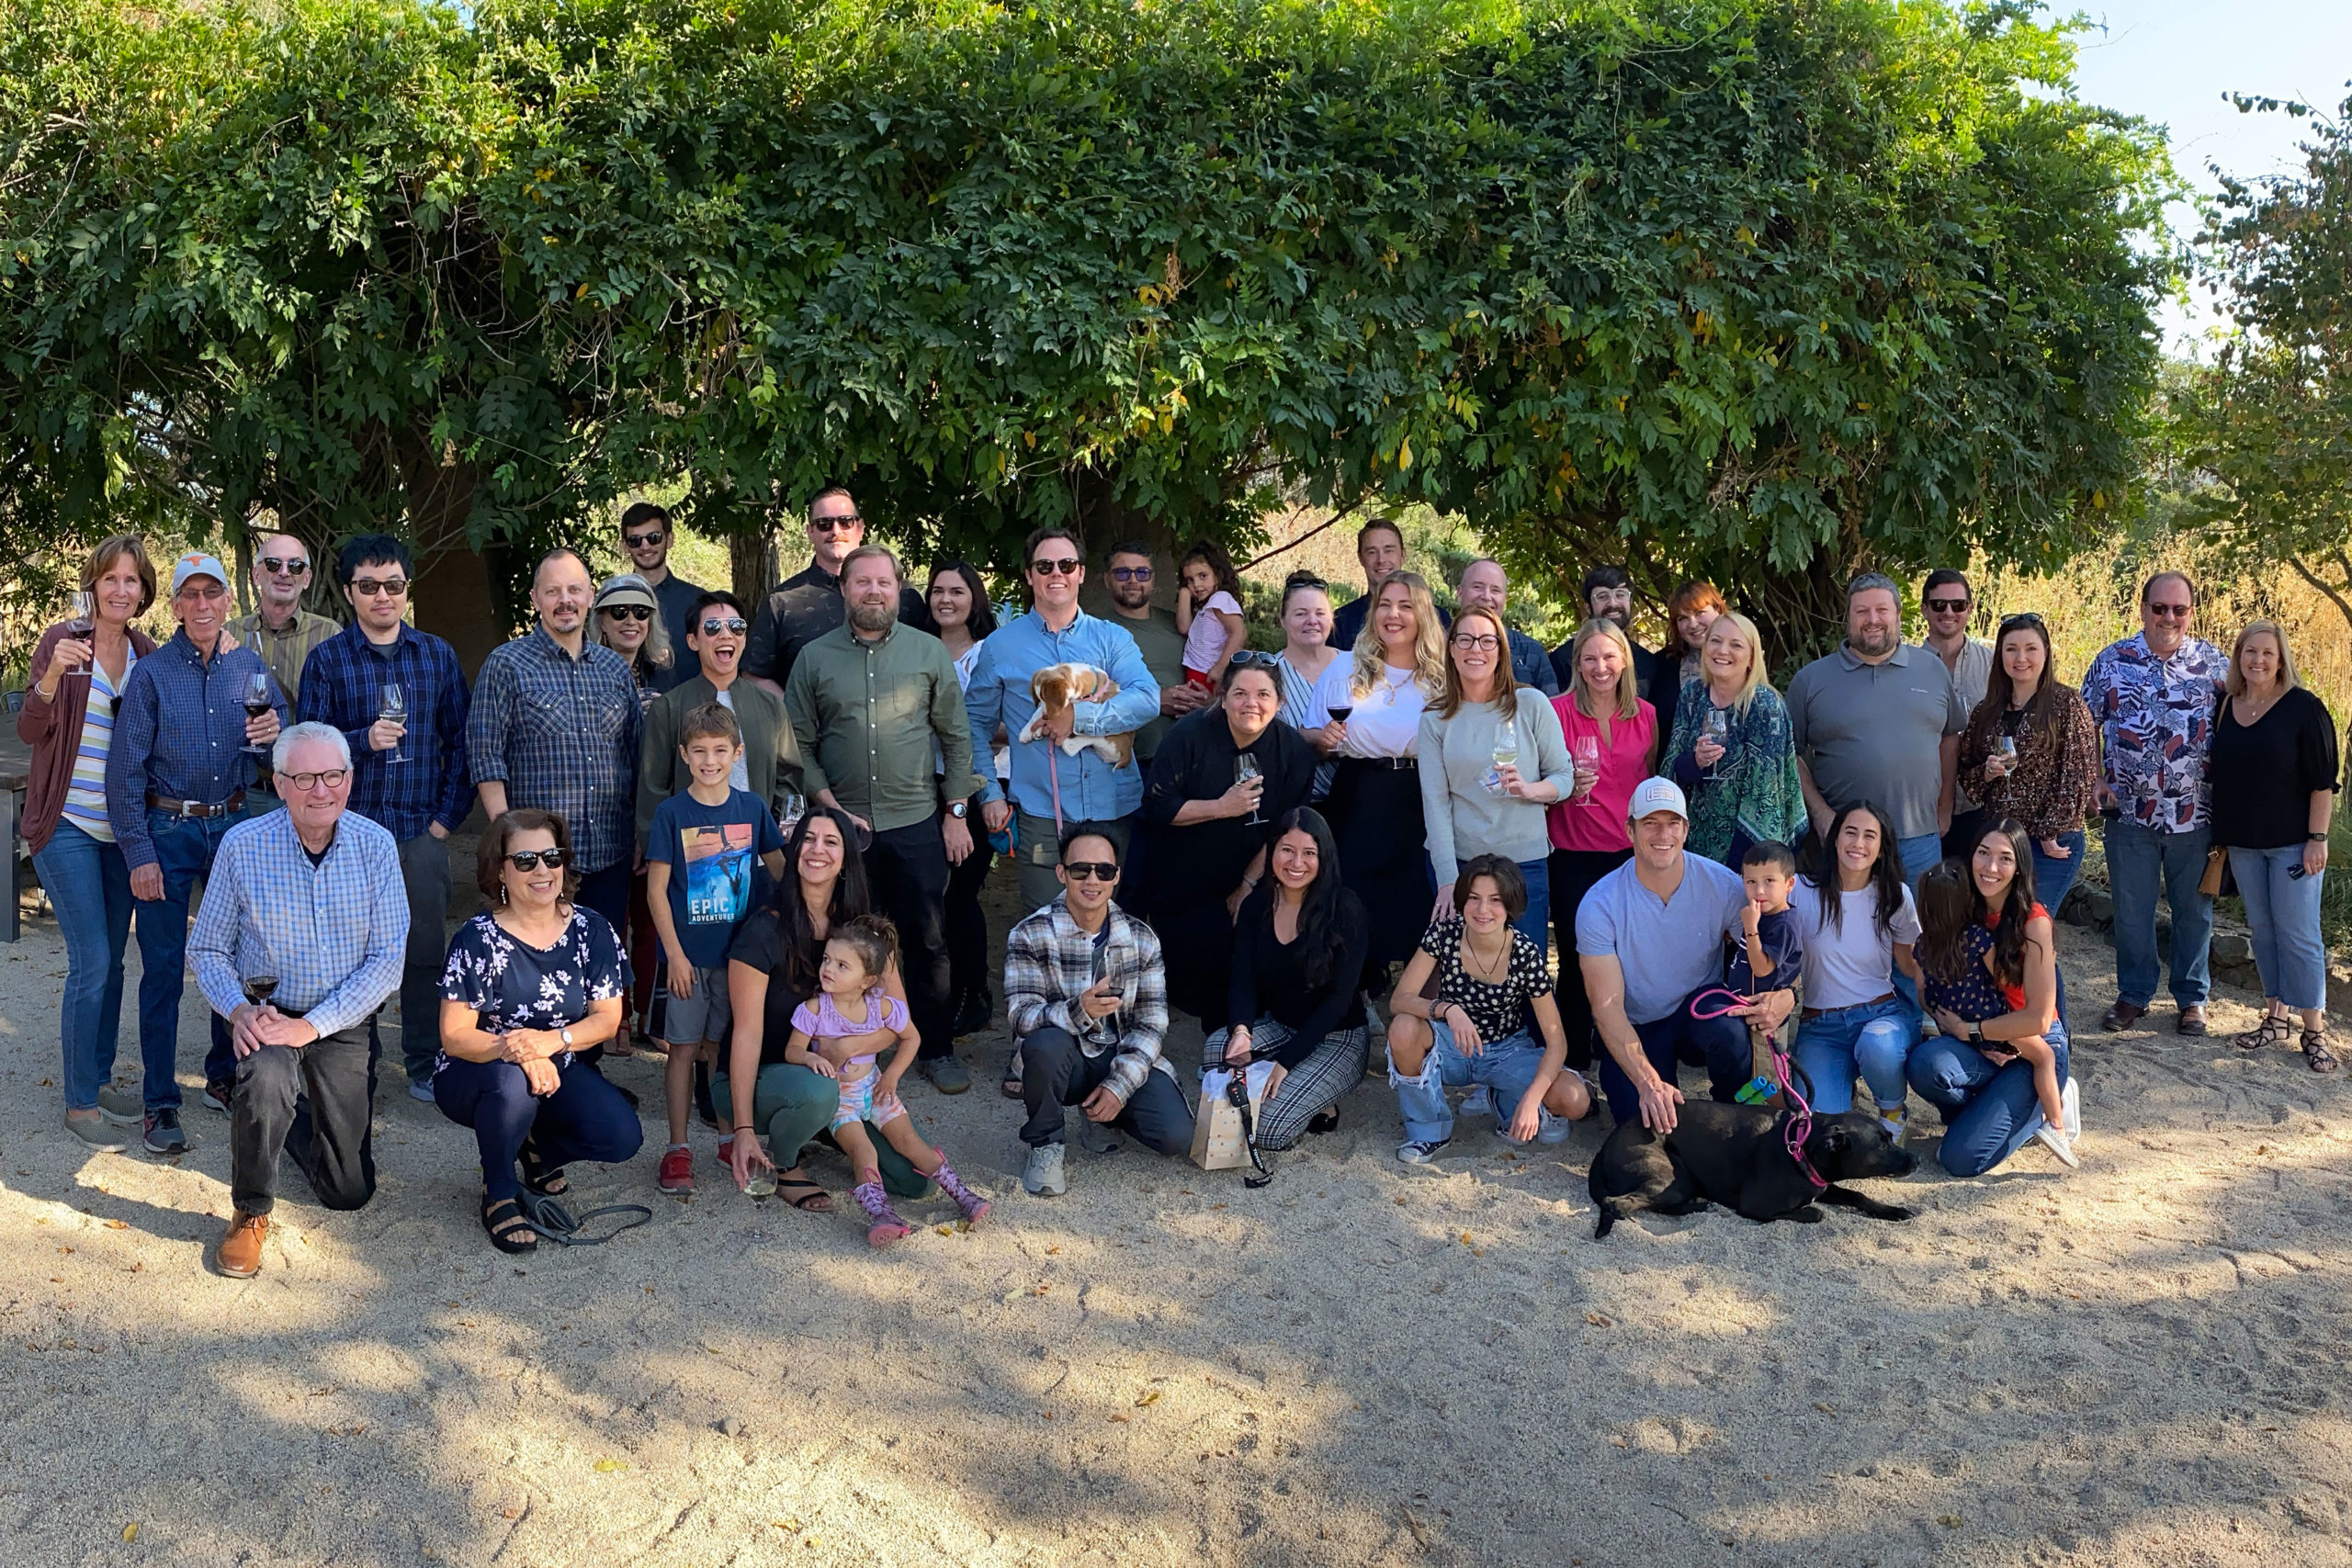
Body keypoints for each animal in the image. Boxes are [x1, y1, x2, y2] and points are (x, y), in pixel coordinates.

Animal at [1021, 667, 1138, 771]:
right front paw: (1027, 732)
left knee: (1078, 744)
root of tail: (1127, 755)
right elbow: (1038, 712)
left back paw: (1066, 742)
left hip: (1106, 734)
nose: (1046, 716)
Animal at [1589, 1104, 1918, 1241]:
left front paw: (1895, 1211)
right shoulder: (1755, 1205)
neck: (1803, 1146)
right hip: (1669, 1178)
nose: (1914, 1161)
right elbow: (1815, 1213)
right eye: (1881, 1144)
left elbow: (1858, 1195)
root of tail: (1605, 1146)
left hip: (1681, 1182)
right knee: (1615, 1203)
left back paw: (1697, 1206)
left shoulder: (1824, 1184)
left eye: (1890, 1138)